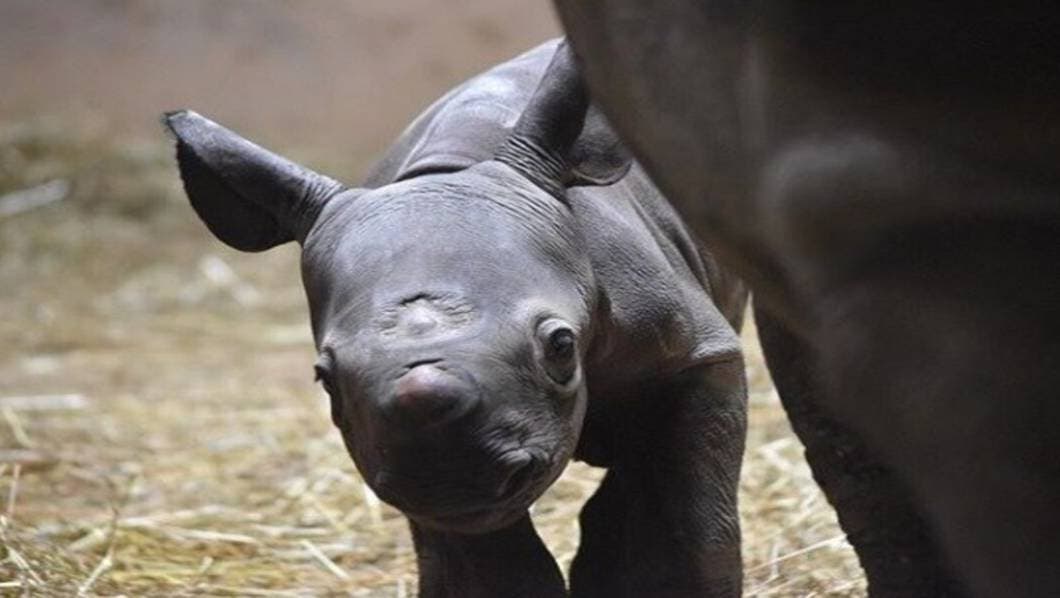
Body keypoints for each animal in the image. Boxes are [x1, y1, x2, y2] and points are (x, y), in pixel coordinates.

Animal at [165, 40, 748, 597]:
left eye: (561, 347)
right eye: (325, 379)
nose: (447, 467)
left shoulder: (693, 355)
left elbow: (682, 516)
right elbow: (486, 560)